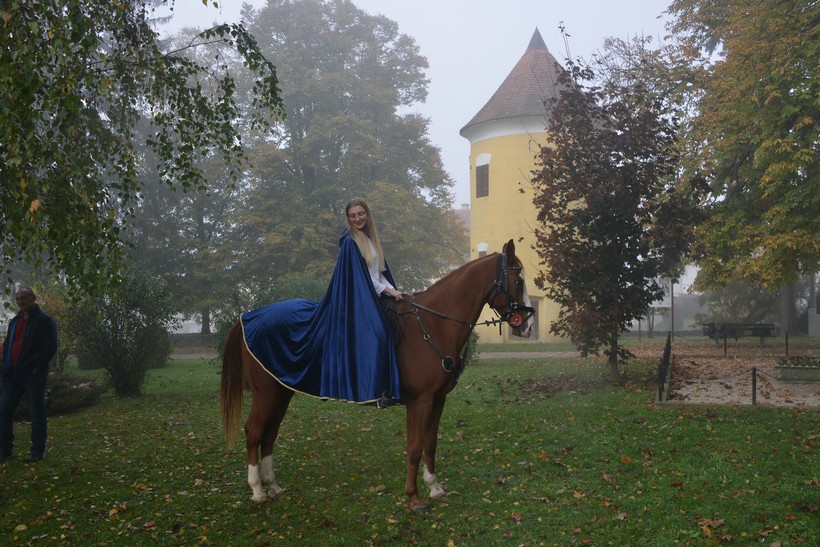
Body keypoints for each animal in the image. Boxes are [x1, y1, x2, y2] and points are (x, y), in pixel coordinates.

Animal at [220, 239, 534, 514]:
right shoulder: (419, 401)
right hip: (266, 393)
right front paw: (414, 498)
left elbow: (431, 443)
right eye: (518, 281)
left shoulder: (437, 400)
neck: (432, 323)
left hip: (282, 391)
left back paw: (273, 487)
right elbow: (414, 447)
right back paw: (258, 491)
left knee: (269, 434)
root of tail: (248, 317)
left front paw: (434, 487)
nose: (528, 325)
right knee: (254, 431)